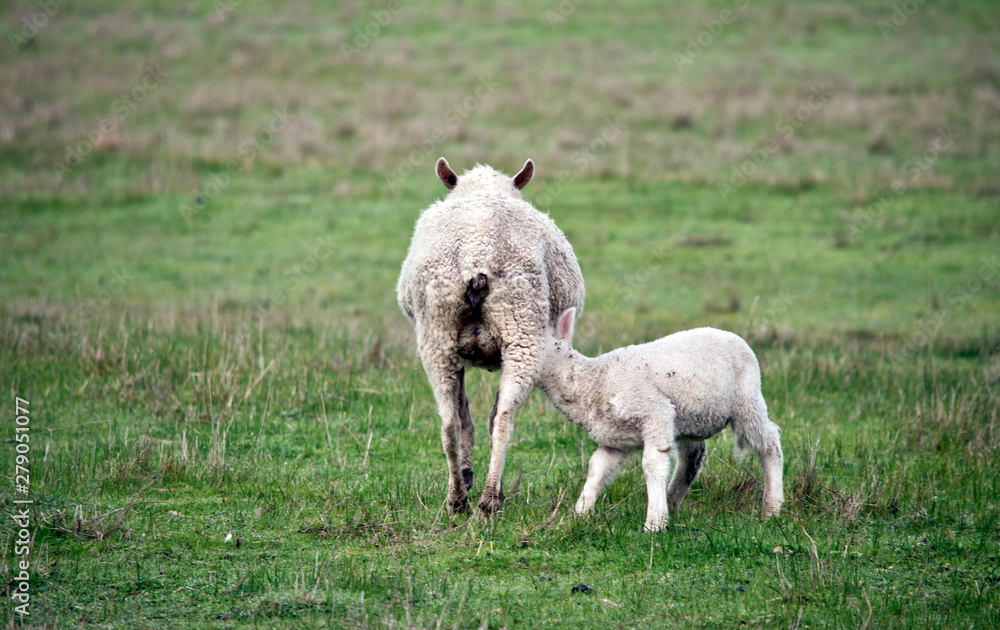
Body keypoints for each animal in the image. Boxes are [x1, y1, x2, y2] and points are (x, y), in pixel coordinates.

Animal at [397, 157, 585, 516]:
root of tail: (476, 255)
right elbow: (487, 416)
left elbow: (465, 418)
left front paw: (467, 473)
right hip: (522, 332)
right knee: (502, 421)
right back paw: (489, 498)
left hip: (437, 336)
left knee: (448, 423)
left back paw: (457, 497)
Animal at [538, 308, 784, 531]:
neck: (591, 381)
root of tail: (734, 337)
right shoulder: (614, 440)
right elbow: (596, 469)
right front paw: (579, 513)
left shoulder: (655, 412)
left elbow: (651, 464)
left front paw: (654, 523)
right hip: (690, 418)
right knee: (693, 457)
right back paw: (672, 501)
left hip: (747, 401)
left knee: (770, 442)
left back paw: (772, 507)